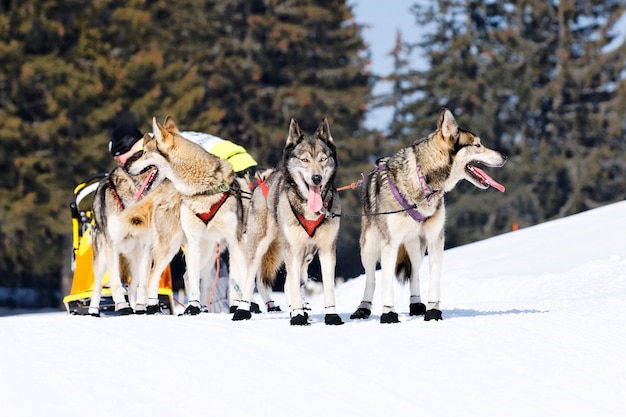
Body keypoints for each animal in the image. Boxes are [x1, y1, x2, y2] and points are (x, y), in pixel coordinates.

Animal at [88, 162, 182, 316]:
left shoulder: (146, 247)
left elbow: (143, 284)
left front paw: (140, 306)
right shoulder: (111, 246)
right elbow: (115, 283)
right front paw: (122, 306)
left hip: (136, 263)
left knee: (132, 287)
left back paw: (135, 307)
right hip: (102, 260)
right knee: (98, 286)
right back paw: (93, 311)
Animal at [233, 117, 342, 324]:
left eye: (323, 159)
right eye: (305, 159)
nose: (316, 178)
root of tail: (265, 180)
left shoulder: (326, 248)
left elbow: (328, 285)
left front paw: (331, 315)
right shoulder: (293, 248)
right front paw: (298, 316)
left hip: (304, 254)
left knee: (292, 282)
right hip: (260, 245)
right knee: (251, 278)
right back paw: (242, 310)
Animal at [348, 106, 504, 322]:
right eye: (478, 145)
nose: (505, 156)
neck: (424, 181)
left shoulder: (436, 239)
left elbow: (434, 279)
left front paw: (433, 311)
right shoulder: (390, 243)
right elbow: (386, 282)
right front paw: (388, 314)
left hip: (416, 248)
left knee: (414, 274)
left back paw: (416, 304)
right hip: (369, 247)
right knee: (371, 279)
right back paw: (363, 308)